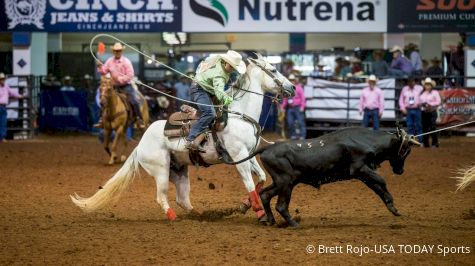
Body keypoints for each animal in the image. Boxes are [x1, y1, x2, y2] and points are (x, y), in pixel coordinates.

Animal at [70, 55, 296, 221]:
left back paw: (200, 215)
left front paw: (245, 205)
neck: (239, 114)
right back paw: (173, 218)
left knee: (182, 199)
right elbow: (249, 183)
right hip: (160, 170)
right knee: (161, 196)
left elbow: (262, 177)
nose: (292, 88)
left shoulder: (248, 154)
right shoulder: (238, 155)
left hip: (179, 171)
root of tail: (141, 144)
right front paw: (259, 212)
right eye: (273, 70)